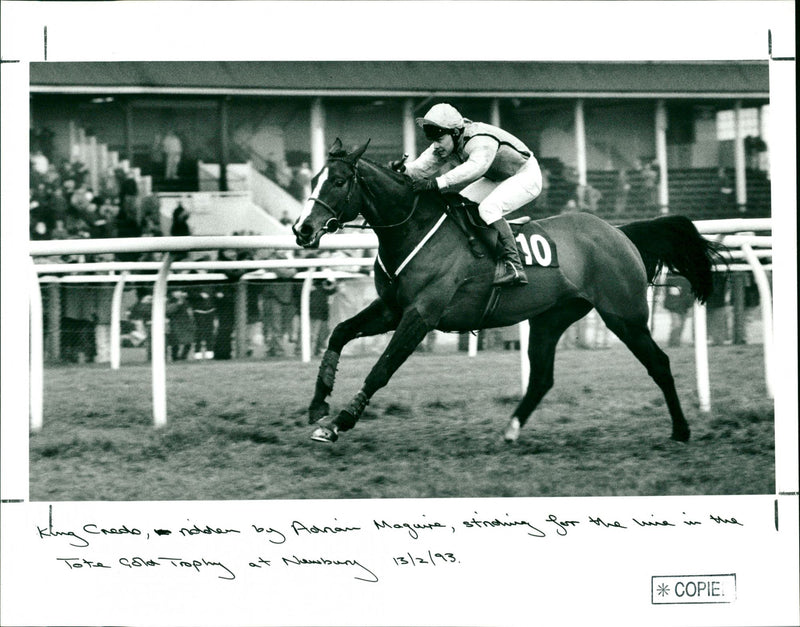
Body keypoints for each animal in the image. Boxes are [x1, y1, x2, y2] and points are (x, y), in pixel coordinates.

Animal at [294, 141, 724, 446]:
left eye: (338, 182)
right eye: (313, 179)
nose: (302, 229)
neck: (413, 227)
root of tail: (619, 232)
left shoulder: (422, 314)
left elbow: (382, 368)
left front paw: (339, 422)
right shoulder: (392, 308)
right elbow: (339, 333)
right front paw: (318, 406)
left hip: (625, 315)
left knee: (659, 363)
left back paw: (682, 430)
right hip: (551, 319)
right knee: (542, 378)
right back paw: (511, 430)